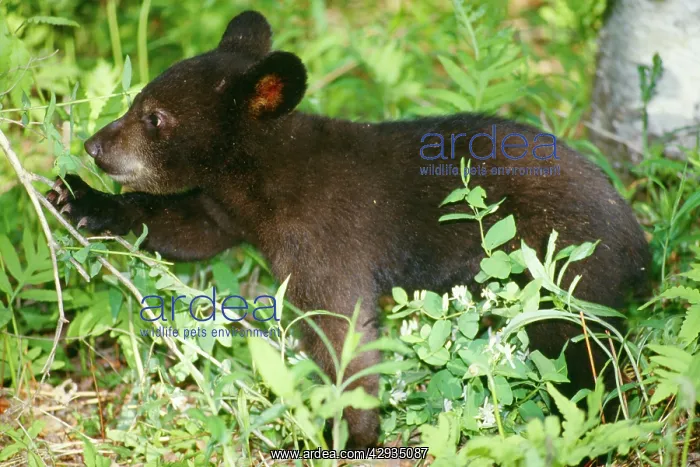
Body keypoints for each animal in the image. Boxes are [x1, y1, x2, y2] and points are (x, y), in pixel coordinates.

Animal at [46, 10, 650, 449]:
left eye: (155, 118)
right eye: (136, 101)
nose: (93, 146)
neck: (262, 180)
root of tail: (640, 247)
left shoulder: (322, 239)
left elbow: (342, 333)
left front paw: (345, 433)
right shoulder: (227, 214)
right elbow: (186, 228)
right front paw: (83, 201)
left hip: (566, 277)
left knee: (580, 358)